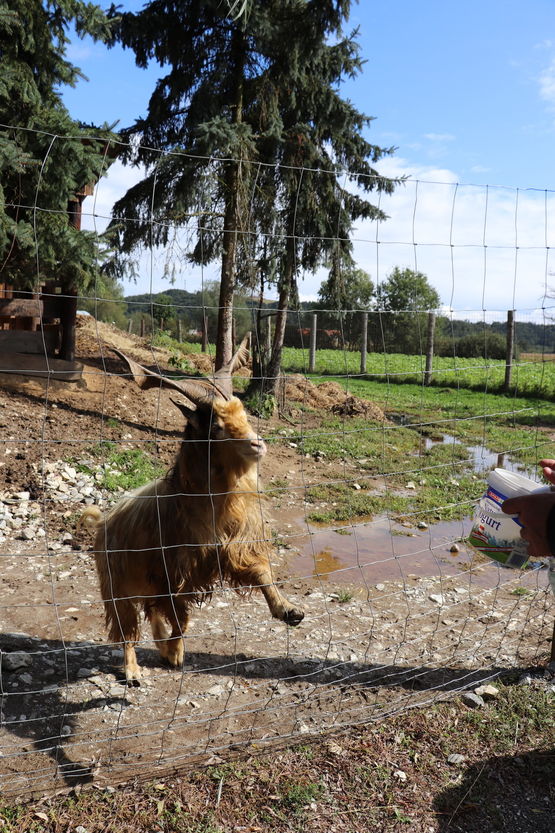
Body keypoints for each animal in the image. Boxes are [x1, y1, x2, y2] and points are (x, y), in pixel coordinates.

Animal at [81, 341, 304, 684]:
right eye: (217, 427)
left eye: (245, 415)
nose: (258, 445)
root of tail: (104, 520)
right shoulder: (172, 573)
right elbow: (180, 617)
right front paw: (175, 653)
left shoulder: (234, 548)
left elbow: (261, 572)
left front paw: (289, 610)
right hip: (115, 582)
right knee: (127, 627)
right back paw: (133, 670)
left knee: (151, 614)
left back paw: (159, 645)